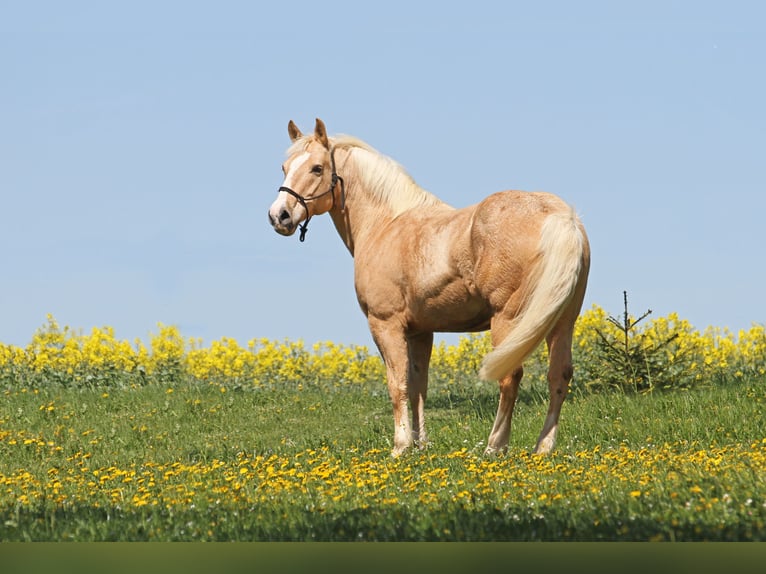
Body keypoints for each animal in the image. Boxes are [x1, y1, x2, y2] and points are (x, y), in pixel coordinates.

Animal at [268, 118, 590, 457]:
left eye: (317, 168)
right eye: (285, 167)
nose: (279, 216)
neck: (386, 223)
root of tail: (560, 216)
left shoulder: (385, 325)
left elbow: (397, 384)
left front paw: (400, 446)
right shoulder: (420, 332)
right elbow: (418, 387)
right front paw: (421, 444)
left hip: (508, 319)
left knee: (510, 376)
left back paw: (495, 446)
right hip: (563, 321)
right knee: (559, 376)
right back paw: (544, 447)